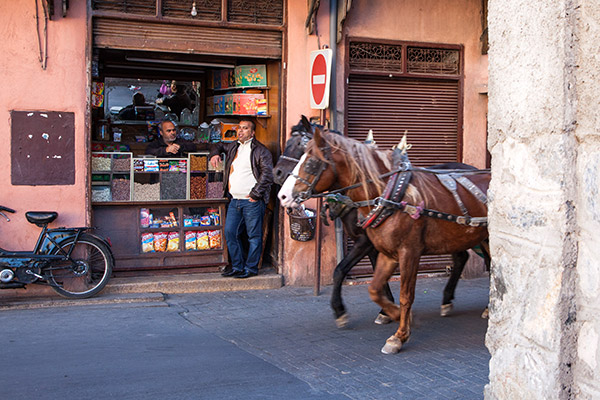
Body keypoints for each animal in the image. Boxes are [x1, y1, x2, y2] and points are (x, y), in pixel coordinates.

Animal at [278, 127, 490, 354]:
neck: (389, 196)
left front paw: (399, 335)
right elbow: (374, 288)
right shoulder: (387, 252)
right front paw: (393, 314)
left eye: (310, 162)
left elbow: (405, 295)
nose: (282, 195)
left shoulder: (407, 252)